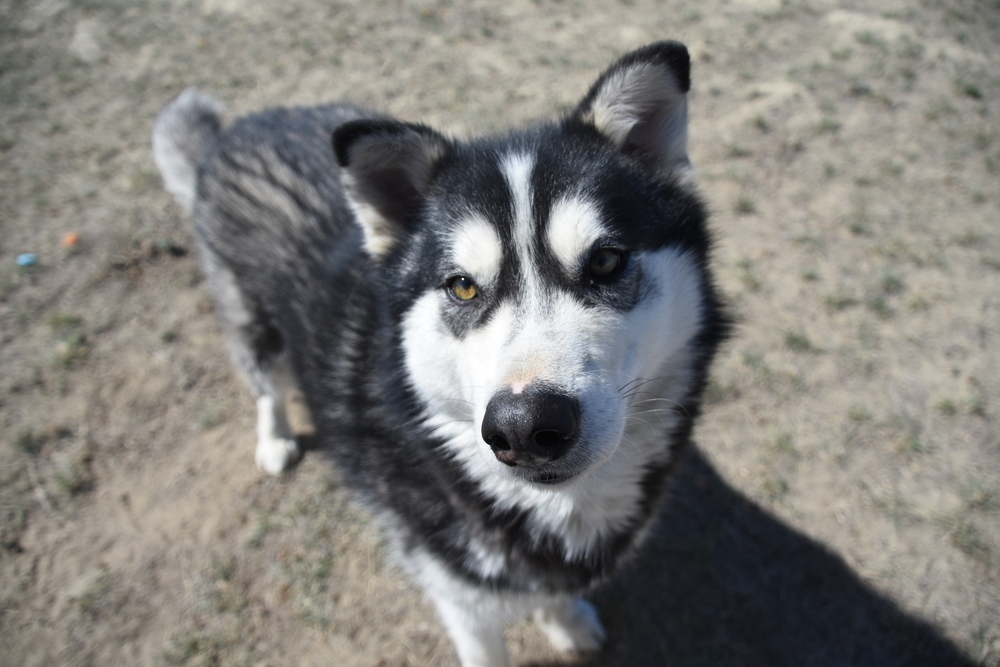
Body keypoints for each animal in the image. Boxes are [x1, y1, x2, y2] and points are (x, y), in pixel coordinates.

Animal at [150, 43, 728, 667]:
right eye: (463, 287)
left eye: (605, 261)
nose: (525, 427)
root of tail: (241, 127)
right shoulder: (462, 603)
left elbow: (552, 593)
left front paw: (564, 619)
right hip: (253, 323)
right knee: (266, 383)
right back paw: (275, 438)